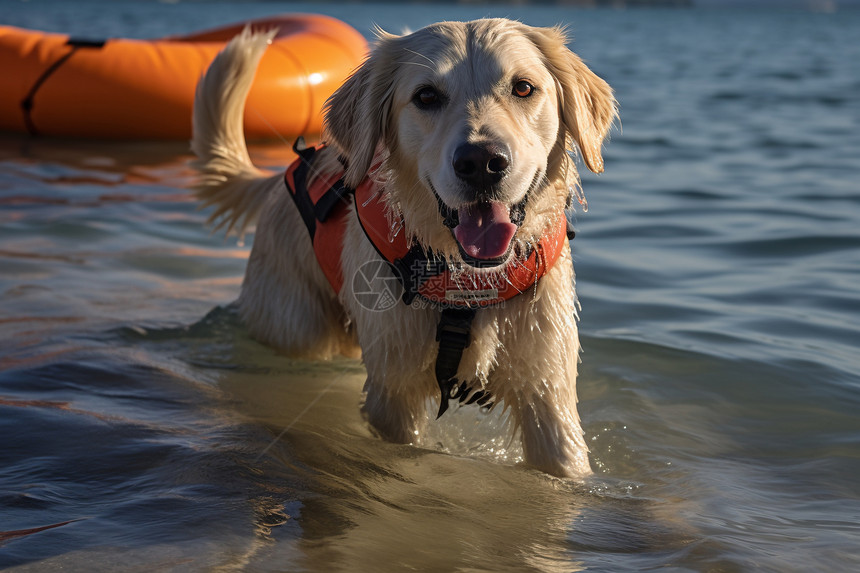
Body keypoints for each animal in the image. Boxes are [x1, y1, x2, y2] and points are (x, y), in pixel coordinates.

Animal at [191, 17, 616, 476]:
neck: (467, 283)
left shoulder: (547, 389)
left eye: (523, 88)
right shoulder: (395, 393)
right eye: (426, 96)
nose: (481, 162)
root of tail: (280, 177)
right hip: (296, 328)